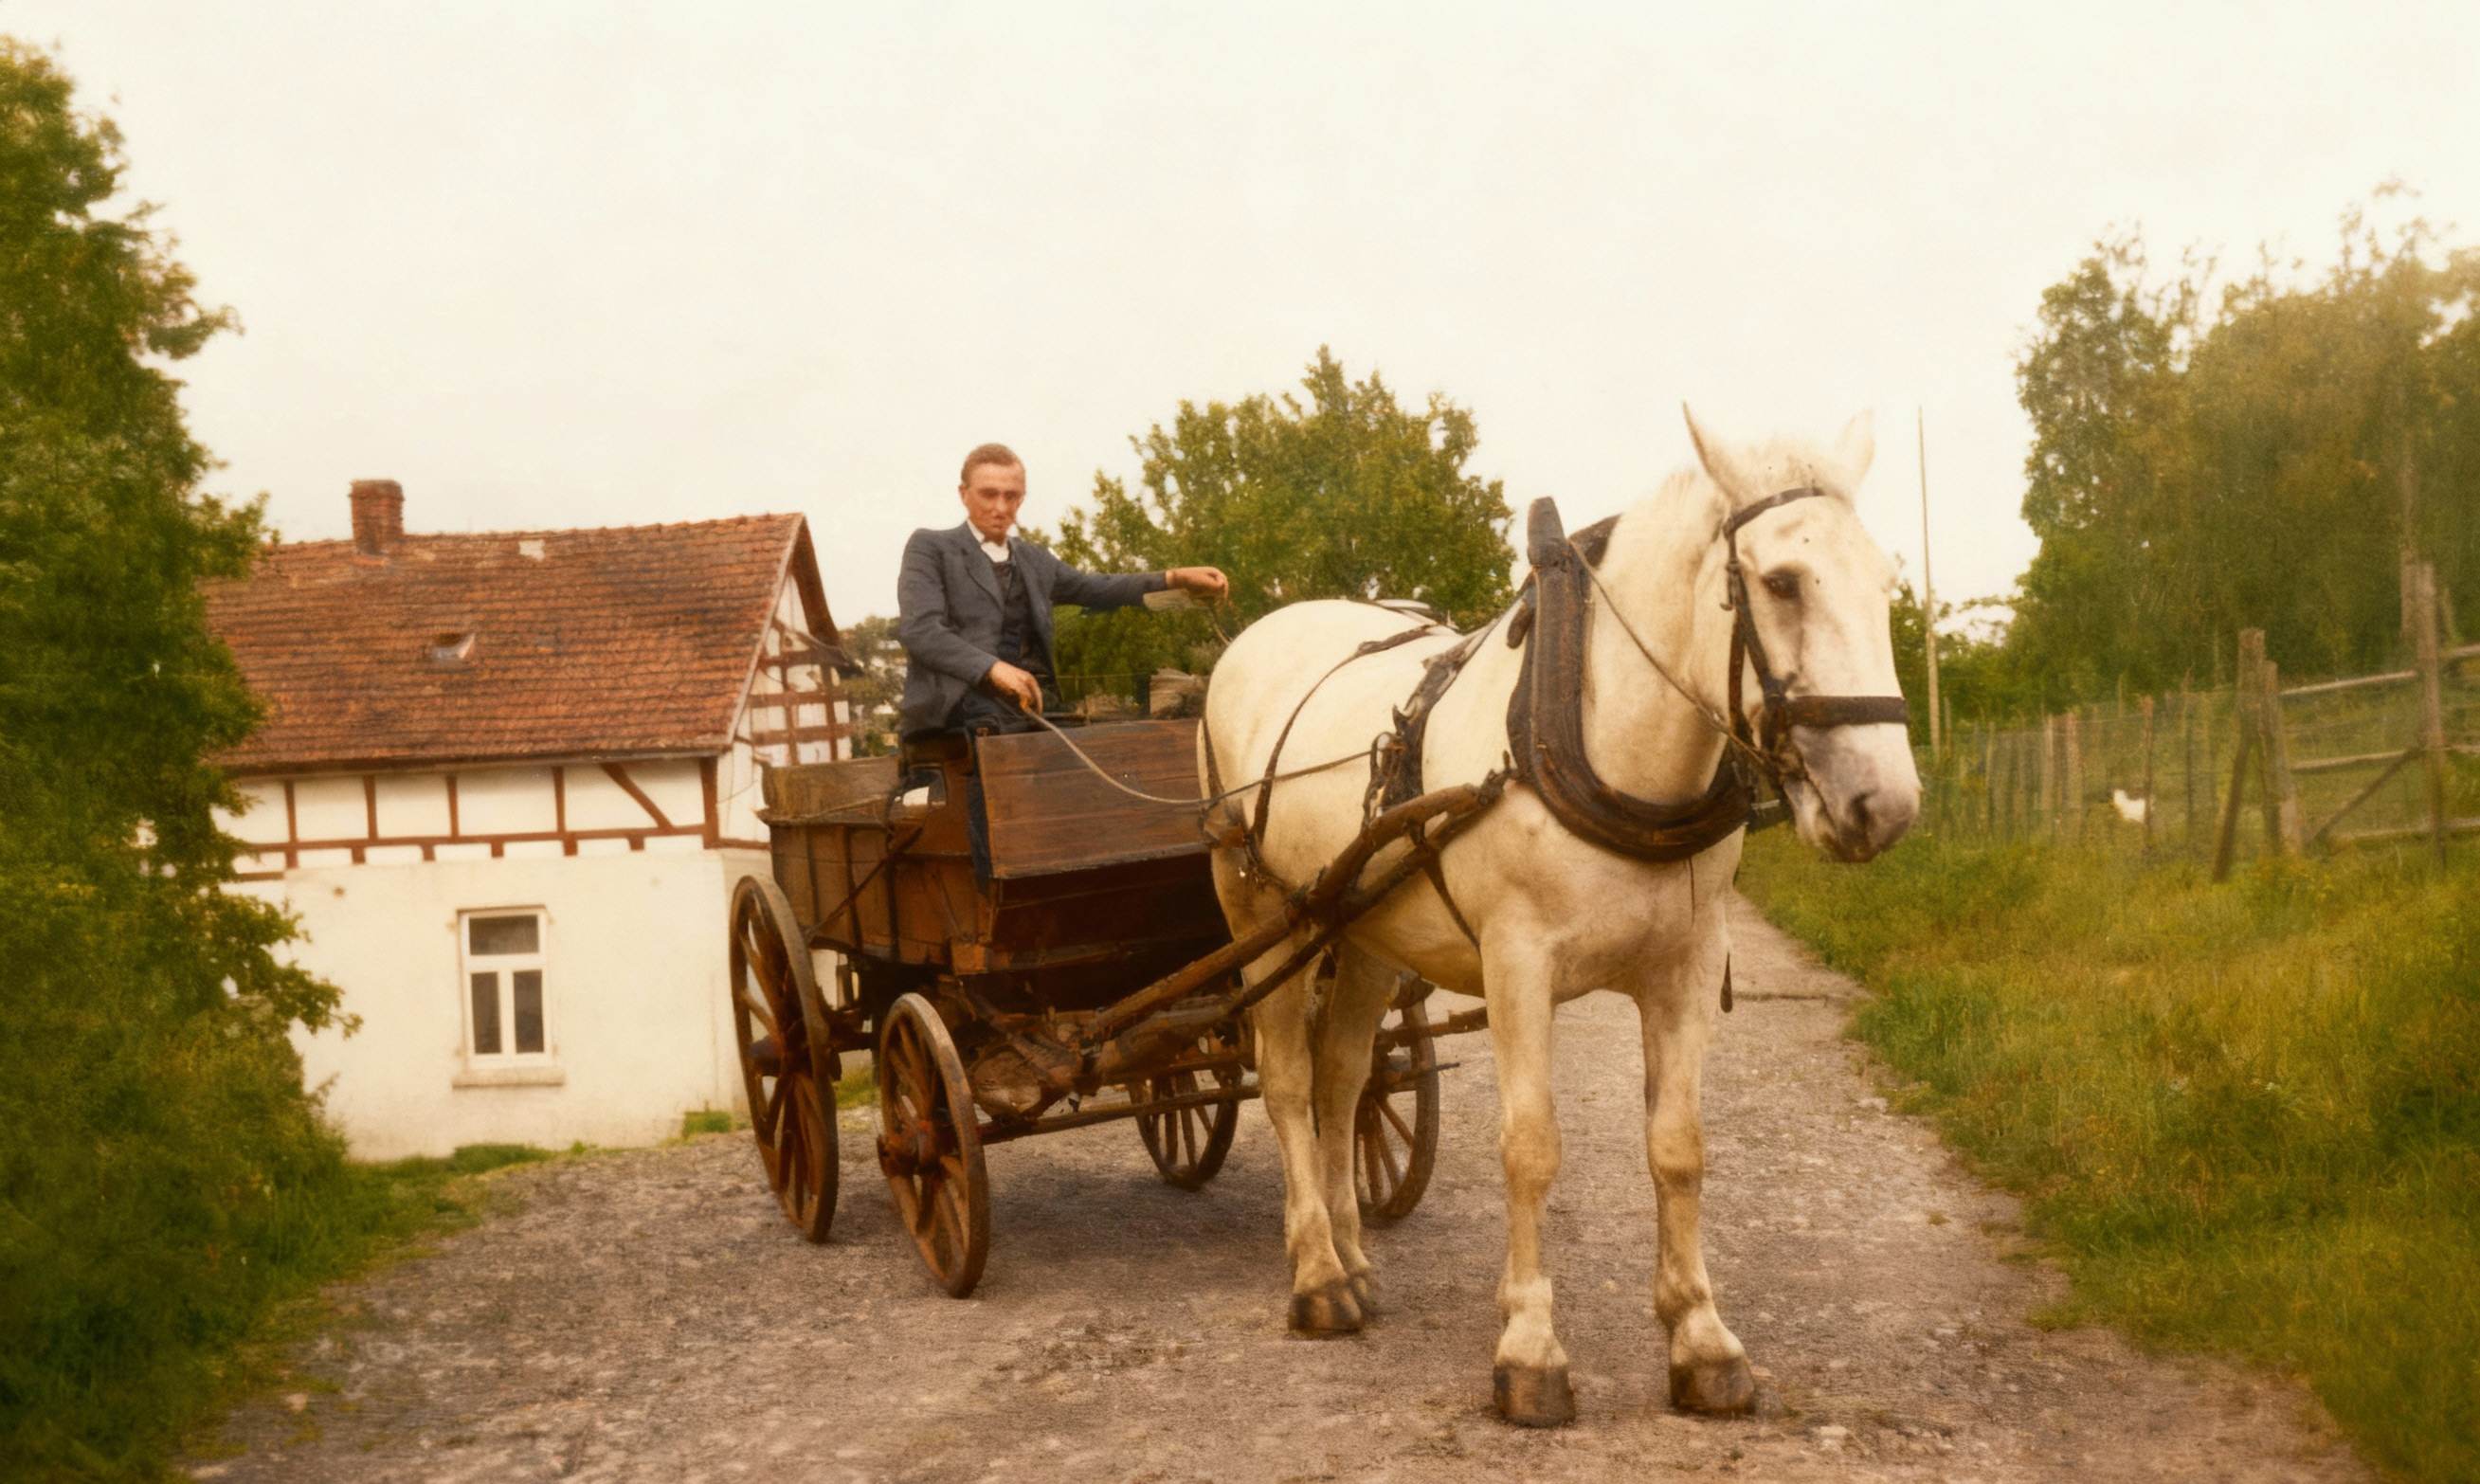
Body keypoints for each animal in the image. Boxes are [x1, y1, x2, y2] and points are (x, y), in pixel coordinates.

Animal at [1199, 408, 1918, 1426]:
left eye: (1886, 582)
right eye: (1780, 581)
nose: (1882, 804)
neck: (1601, 739)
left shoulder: (1685, 967)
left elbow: (1678, 1147)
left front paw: (1702, 1340)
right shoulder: (1518, 967)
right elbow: (1530, 1148)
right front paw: (1530, 1351)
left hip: (1365, 926)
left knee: (1343, 1080)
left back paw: (1354, 1255)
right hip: (1262, 908)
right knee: (1290, 1081)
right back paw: (1317, 1276)